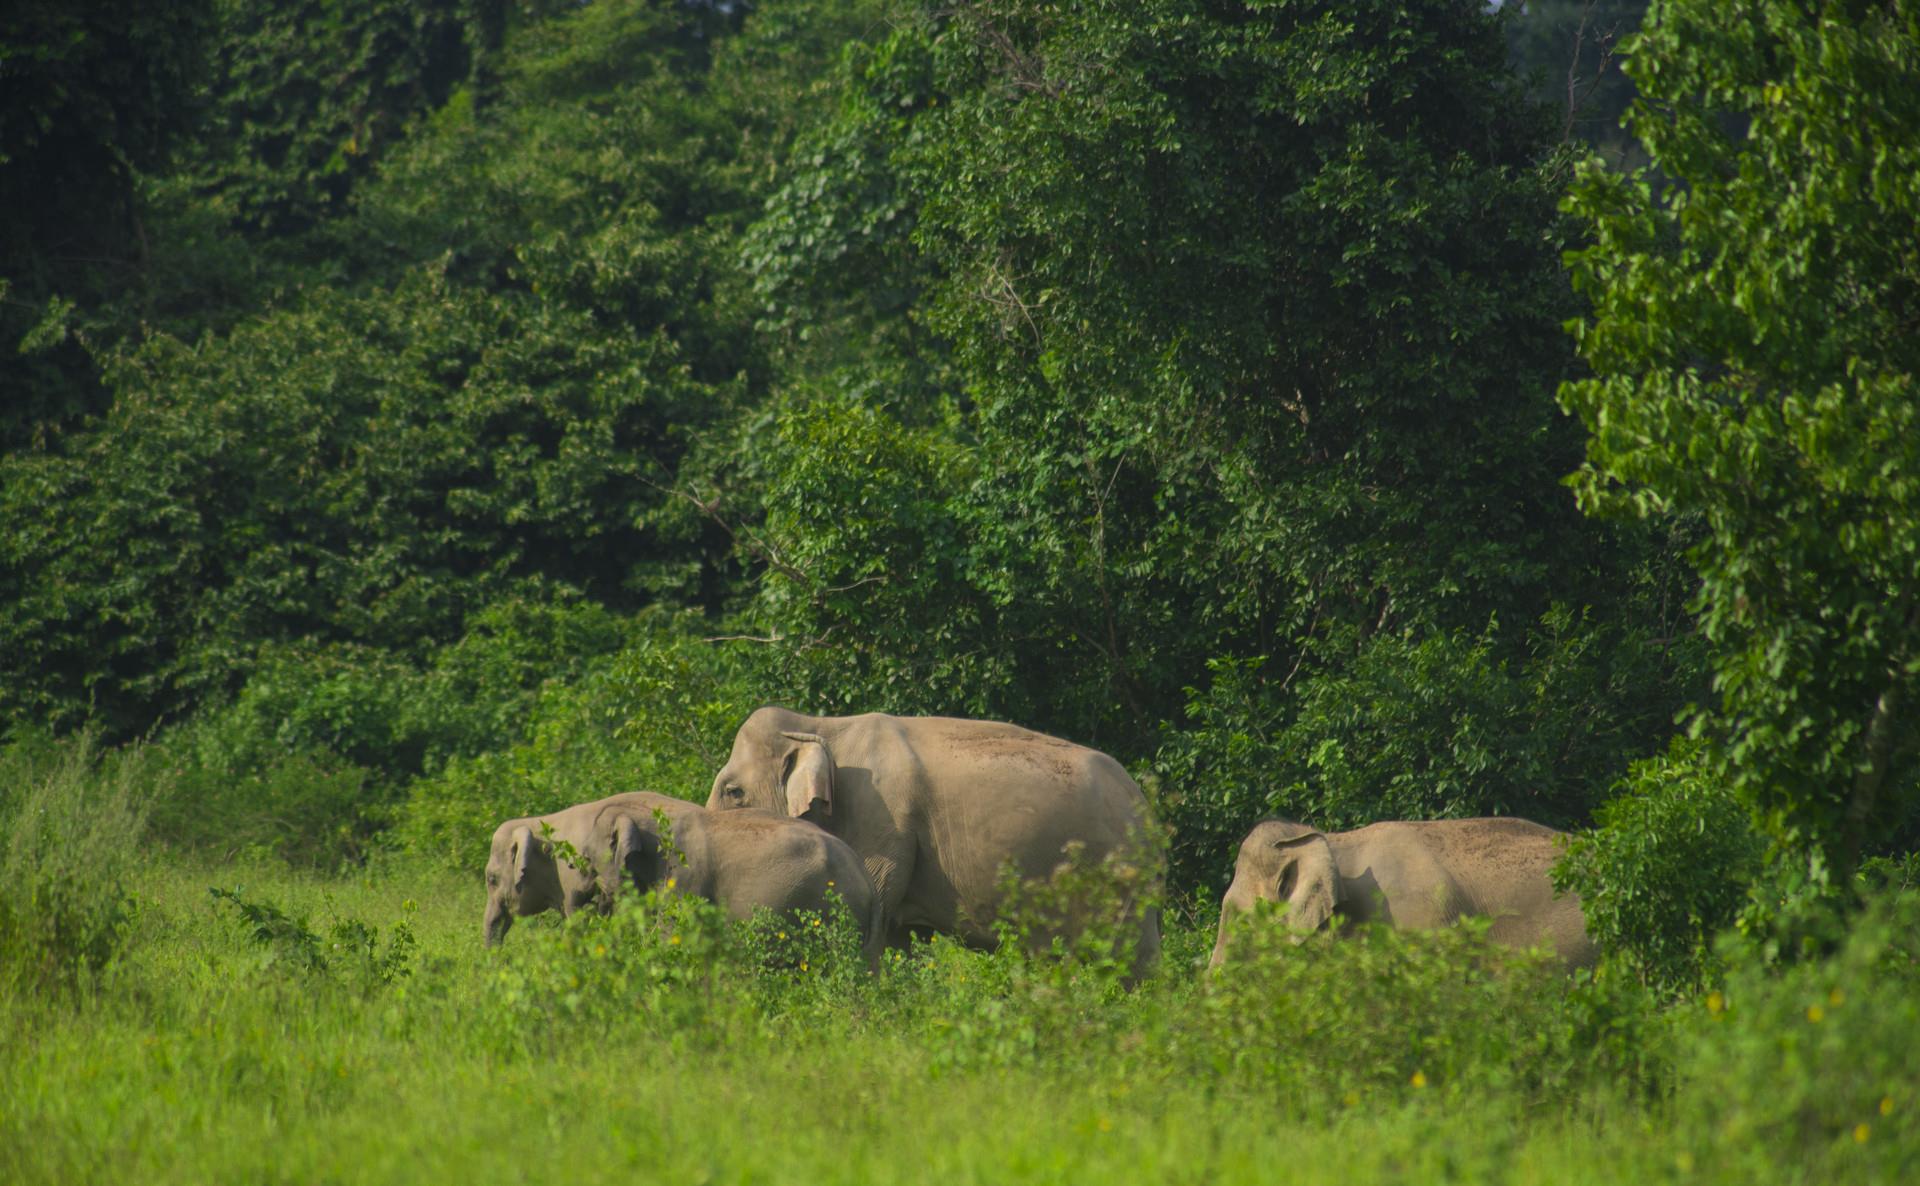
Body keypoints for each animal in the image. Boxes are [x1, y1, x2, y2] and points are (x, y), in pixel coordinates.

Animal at [702, 702, 1152, 971]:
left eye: (733, 791)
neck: (820, 724)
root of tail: (1143, 804)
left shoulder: (881, 821)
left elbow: (879, 922)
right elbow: (901, 937)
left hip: (1117, 874)